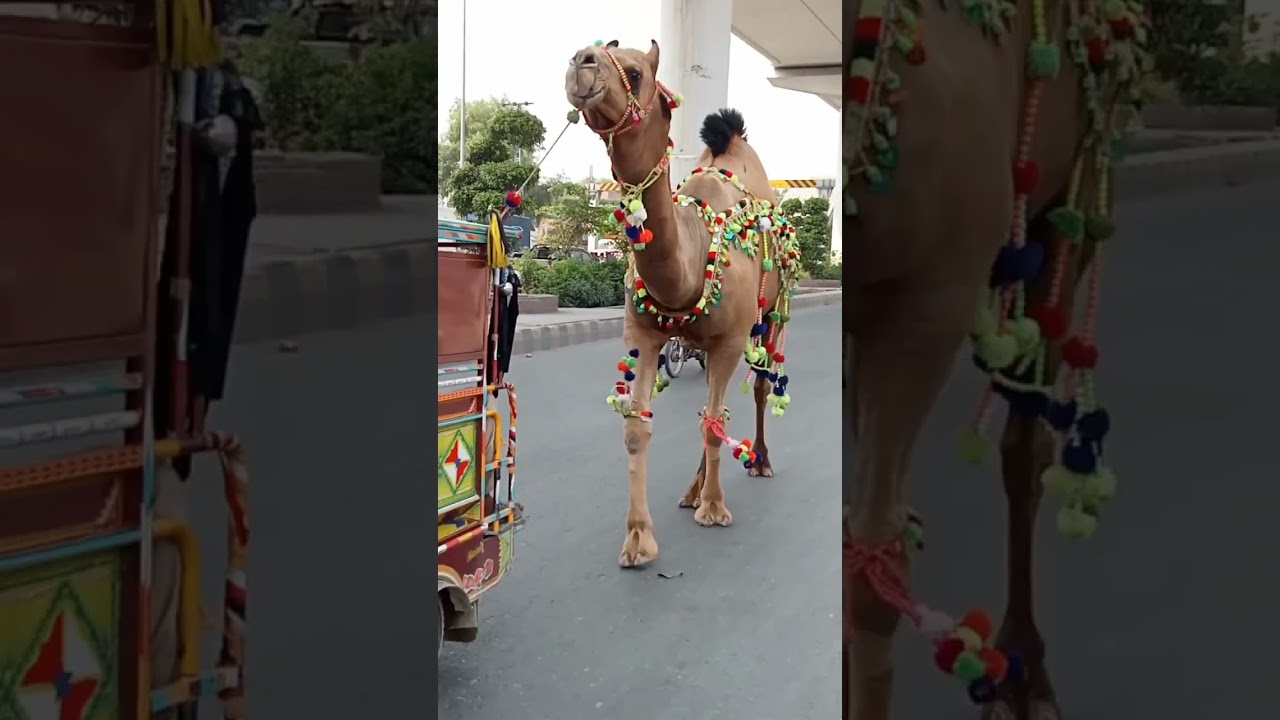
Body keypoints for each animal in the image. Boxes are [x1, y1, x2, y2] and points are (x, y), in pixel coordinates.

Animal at [564, 40, 803, 567]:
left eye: (635, 71)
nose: (580, 61)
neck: (694, 261)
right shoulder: (643, 333)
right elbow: (637, 429)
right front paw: (638, 539)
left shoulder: (730, 340)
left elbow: (715, 424)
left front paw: (714, 508)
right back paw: (693, 490)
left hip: (771, 319)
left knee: (756, 390)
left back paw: (759, 462)